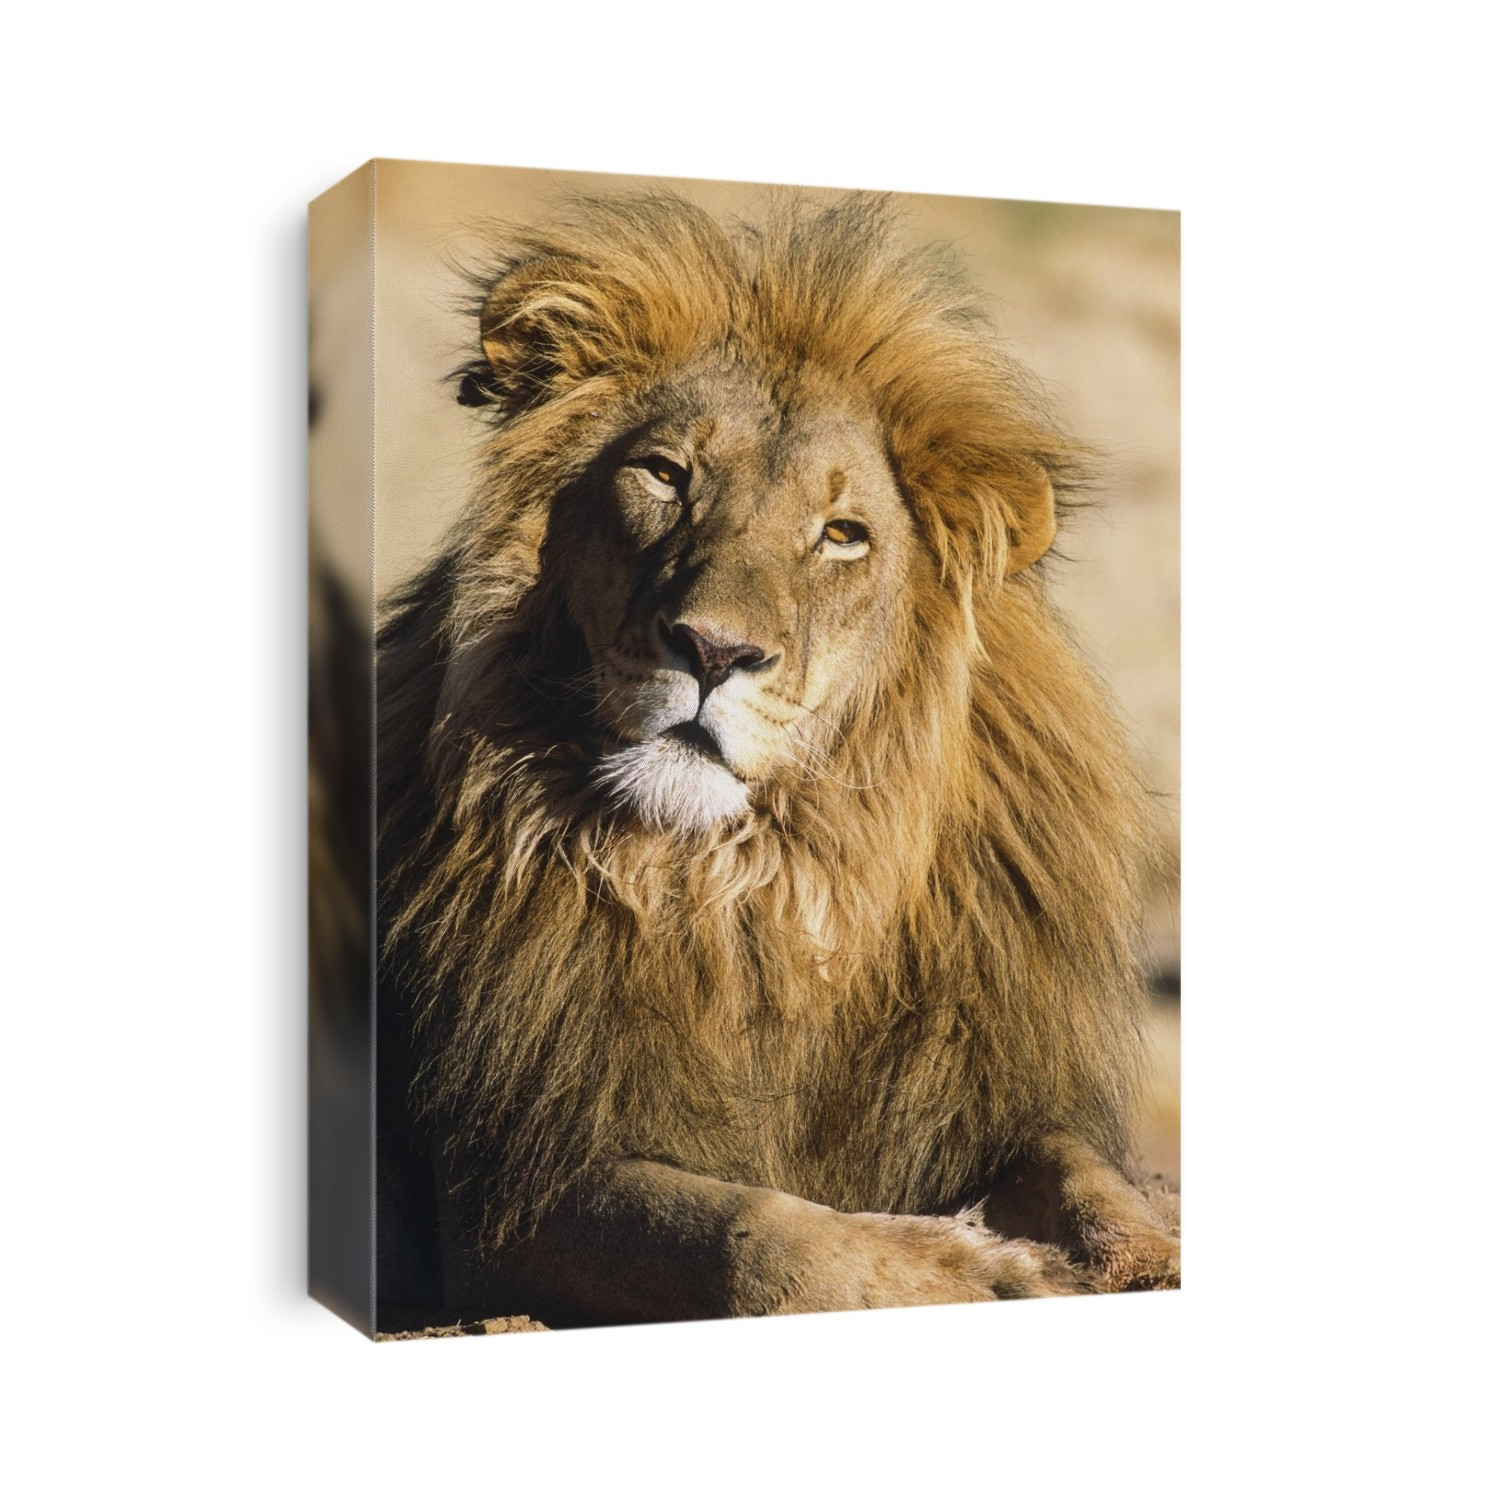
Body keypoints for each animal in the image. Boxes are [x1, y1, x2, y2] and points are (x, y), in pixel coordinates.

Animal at [374, 192, 1179, 1330]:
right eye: (666, 476)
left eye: (841, 535)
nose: (713, 651)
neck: (748, 892)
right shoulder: (500, 1199)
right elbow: (747, 1232)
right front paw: (973, 1268)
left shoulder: (985, 1094)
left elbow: (1090, 1177)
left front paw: (1139, 1256)